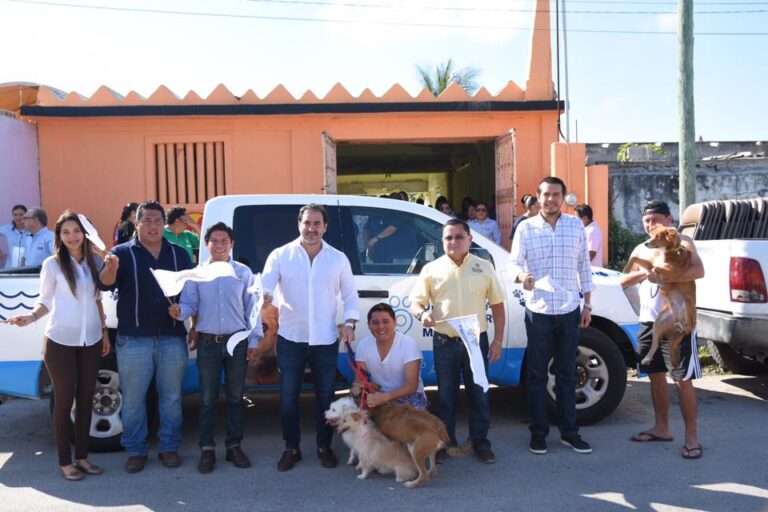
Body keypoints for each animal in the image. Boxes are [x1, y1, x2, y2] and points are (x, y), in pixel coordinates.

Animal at [624, 226, 696, 366]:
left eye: (658, 237)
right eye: (652, 235)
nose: (646, 243)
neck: (668, 252)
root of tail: (676, 318)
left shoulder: (673, 273)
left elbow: (657, 270)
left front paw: (659, 279)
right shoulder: (650, 264)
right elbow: (635, 258)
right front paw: (625, 270)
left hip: (688, 302)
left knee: (689, 325)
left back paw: (683, 326)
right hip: (658, 324)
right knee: (655, 344)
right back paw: (647, 358)